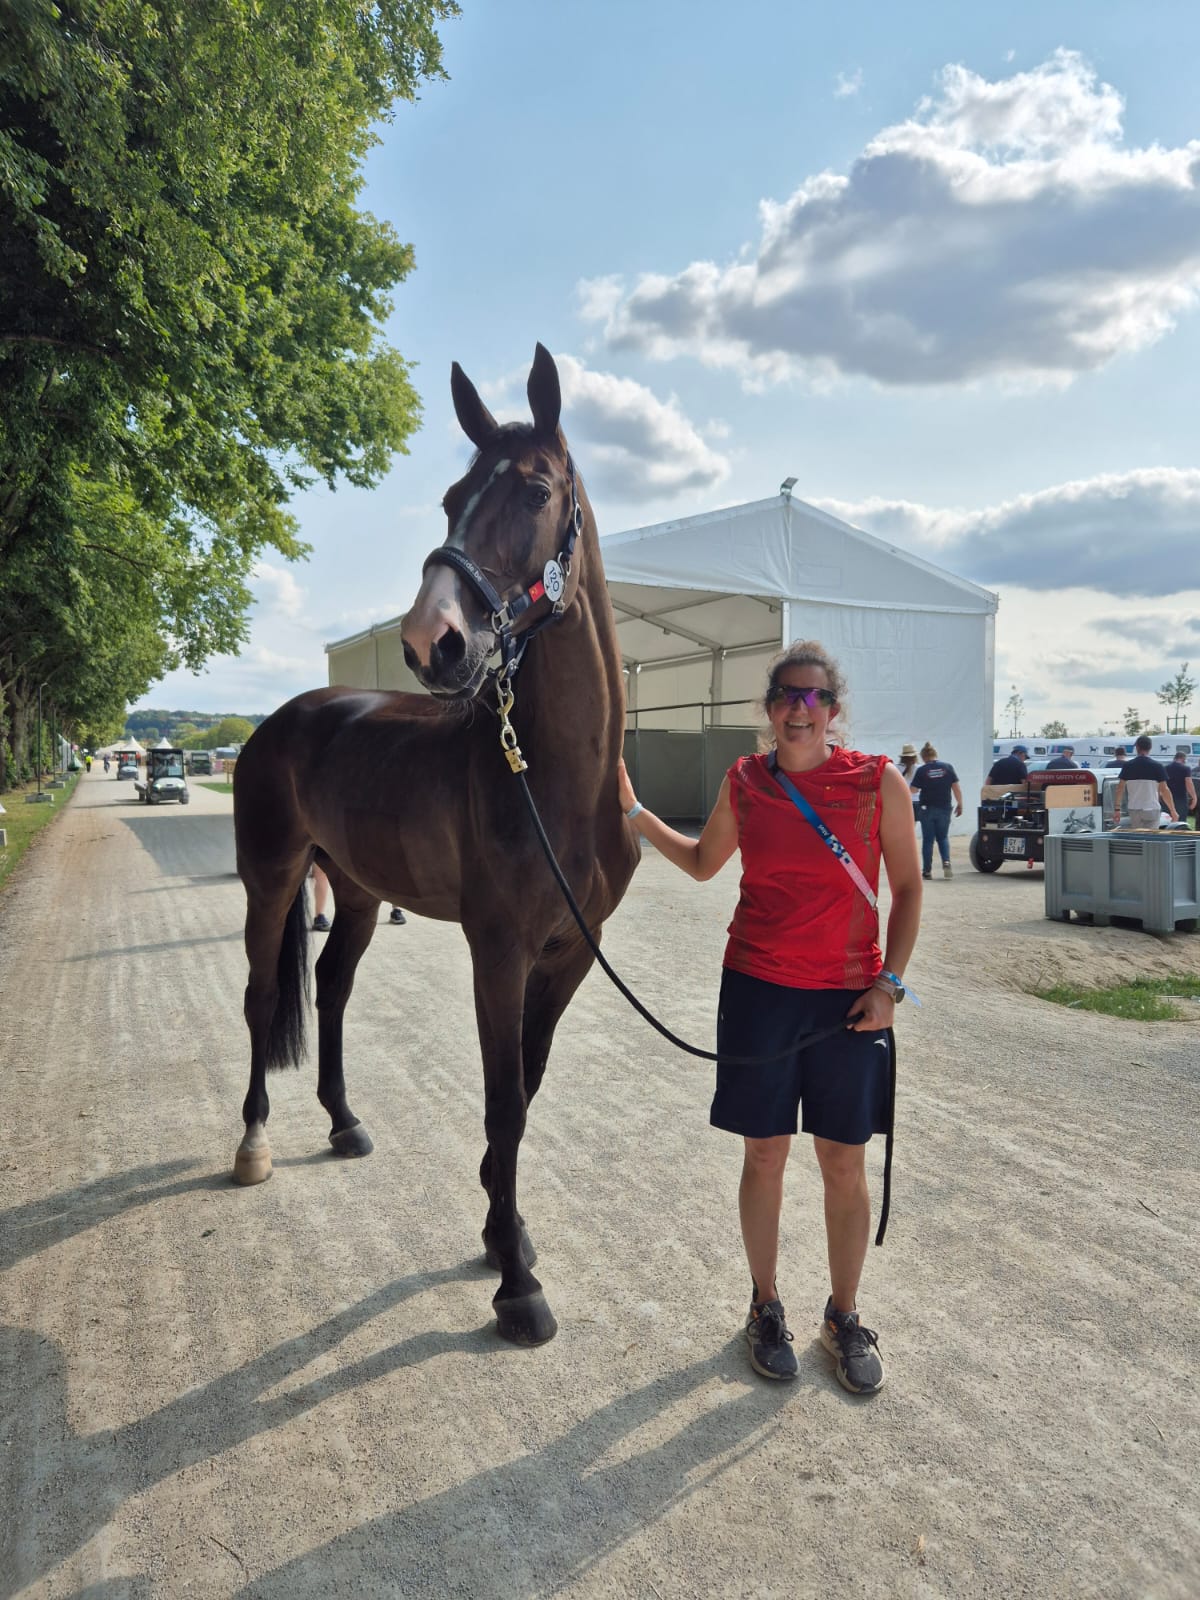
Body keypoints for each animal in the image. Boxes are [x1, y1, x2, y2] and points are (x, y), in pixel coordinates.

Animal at [232, 344, 640, 1344]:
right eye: (452, 498)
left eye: (534, 491)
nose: (432, 642)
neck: (553, 782)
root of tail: (283, 720)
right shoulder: (498, 952)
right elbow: (502, 1102)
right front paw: (516, 1285)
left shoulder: (570, 954)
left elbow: (526, 1090)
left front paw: (506, 1234)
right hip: (272, 879)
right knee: (264, 998)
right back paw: (253, 1141)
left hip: (358, 892)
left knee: (330, 986)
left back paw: (343, 1123)